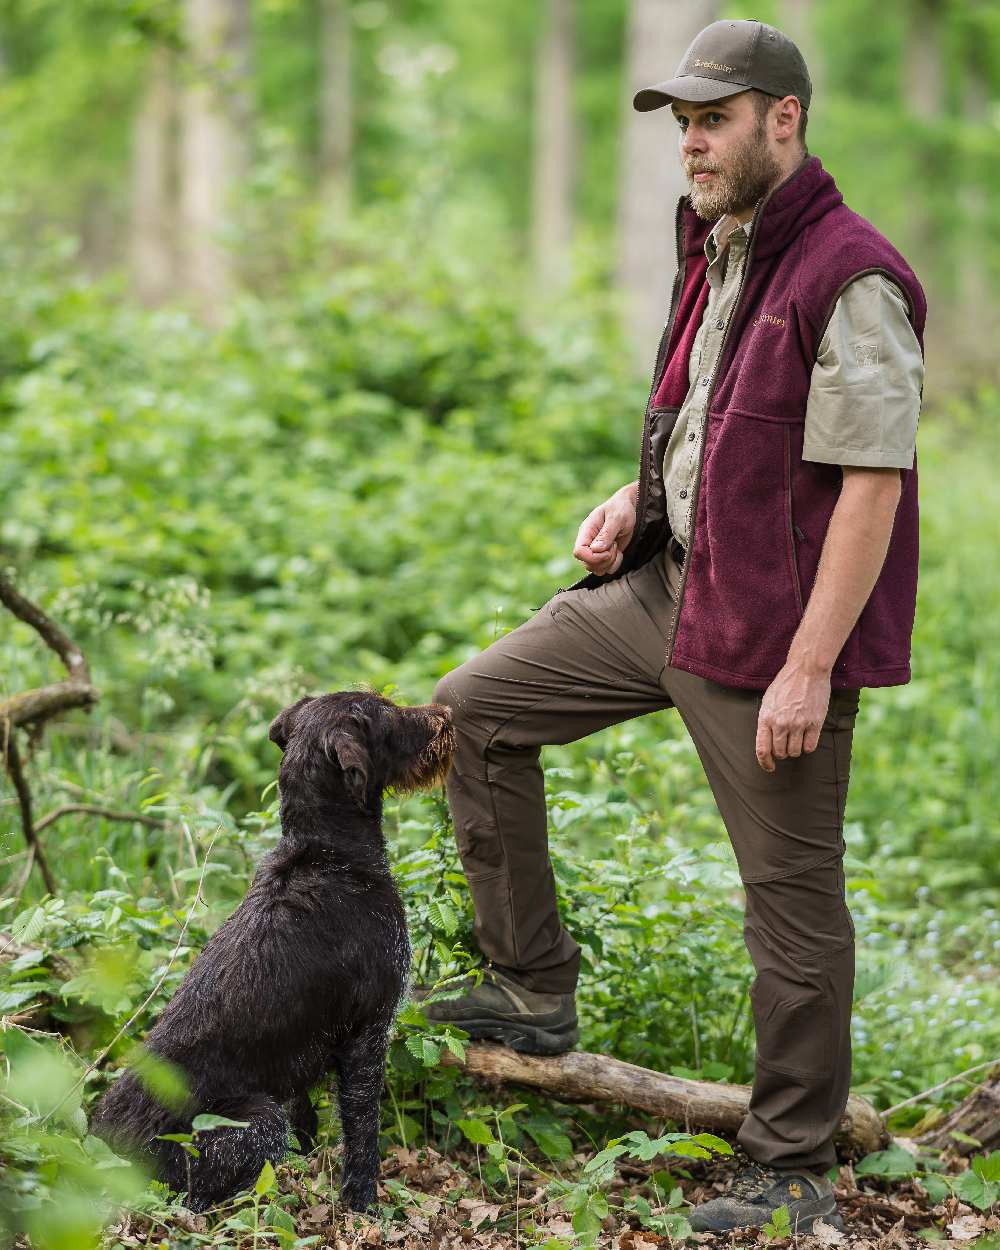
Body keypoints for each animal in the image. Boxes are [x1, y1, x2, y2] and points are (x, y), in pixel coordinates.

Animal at [90, 695, 457, 1210]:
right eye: (388, 712)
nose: (446, 715)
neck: (328, 853)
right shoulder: (369, 1030)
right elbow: (363, 1128)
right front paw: (363, 1203)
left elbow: (307, 1115)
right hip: (257, 1121)